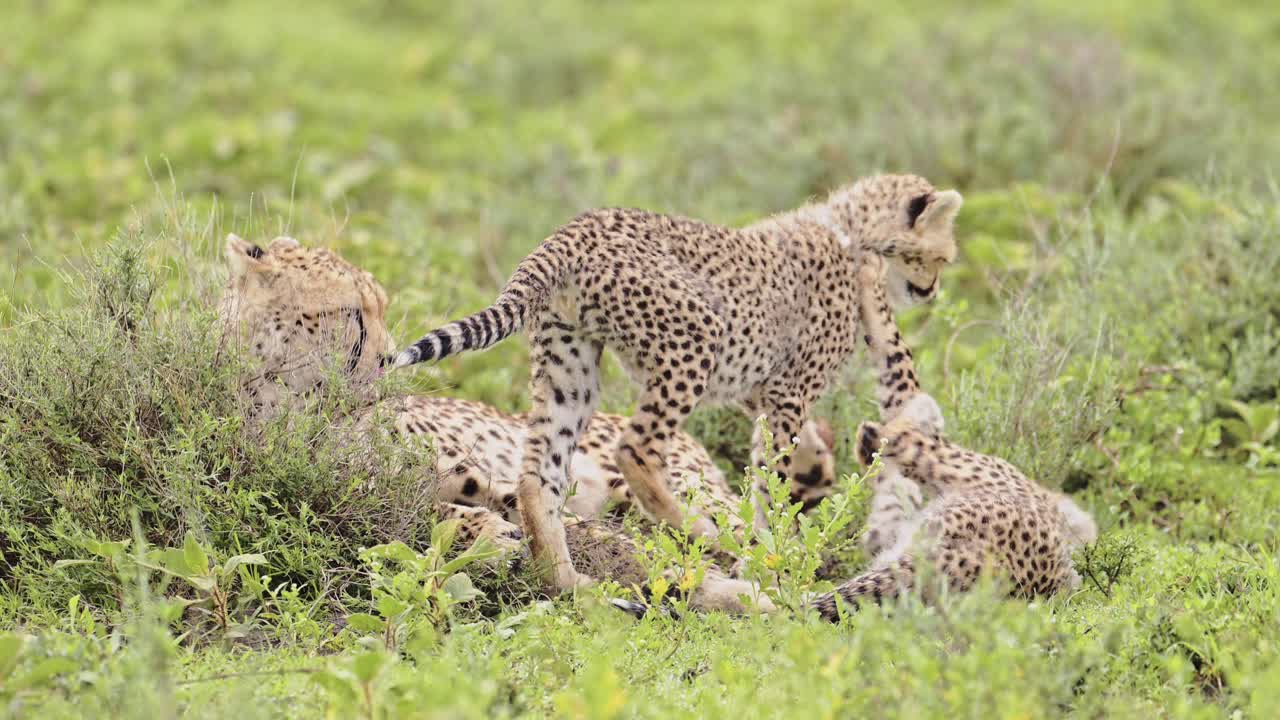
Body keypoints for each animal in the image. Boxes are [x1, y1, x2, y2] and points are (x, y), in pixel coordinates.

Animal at [391, 173, 964, 591]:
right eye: (941, 255)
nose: (933, 290)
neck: (846, 229)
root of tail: (571, 229)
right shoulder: (786, 391)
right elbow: (773, 479)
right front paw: (772, 546)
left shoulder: (760, 391)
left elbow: (773, 465)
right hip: (694, 337)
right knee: (637, 448)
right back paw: (693, 527)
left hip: (569, 366)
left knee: (539, 477)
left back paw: (568, 579)